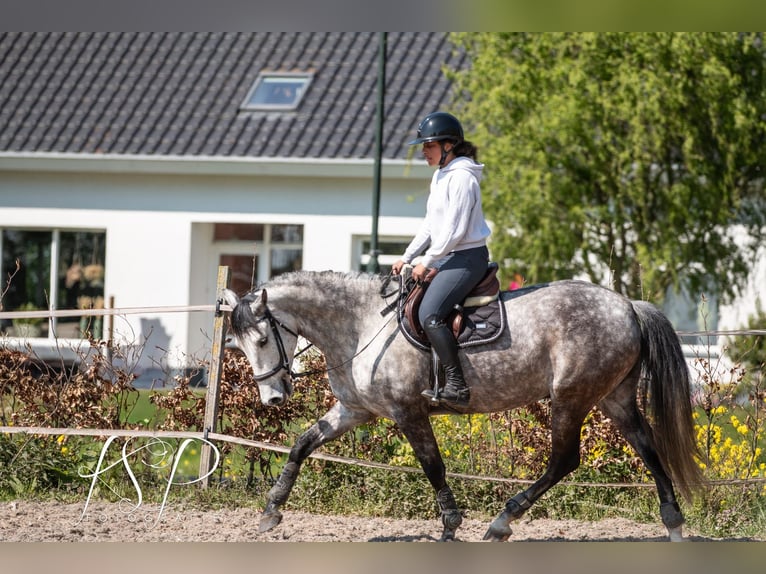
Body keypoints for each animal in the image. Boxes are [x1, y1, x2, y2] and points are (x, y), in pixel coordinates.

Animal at [222, 269, 704, 542]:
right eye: (238, 346)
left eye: (262, 340)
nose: (273, 398)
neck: (361, 325)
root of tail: (628, 305)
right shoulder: (354, 411)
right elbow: (302, 445)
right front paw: (271, 511)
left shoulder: (408, 413)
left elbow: (433, 466)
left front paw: (451, 524)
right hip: (613, 397)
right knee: (648, 448)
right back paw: (673, 524)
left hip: (571, 397)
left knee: (565, 460)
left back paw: (503, 521)